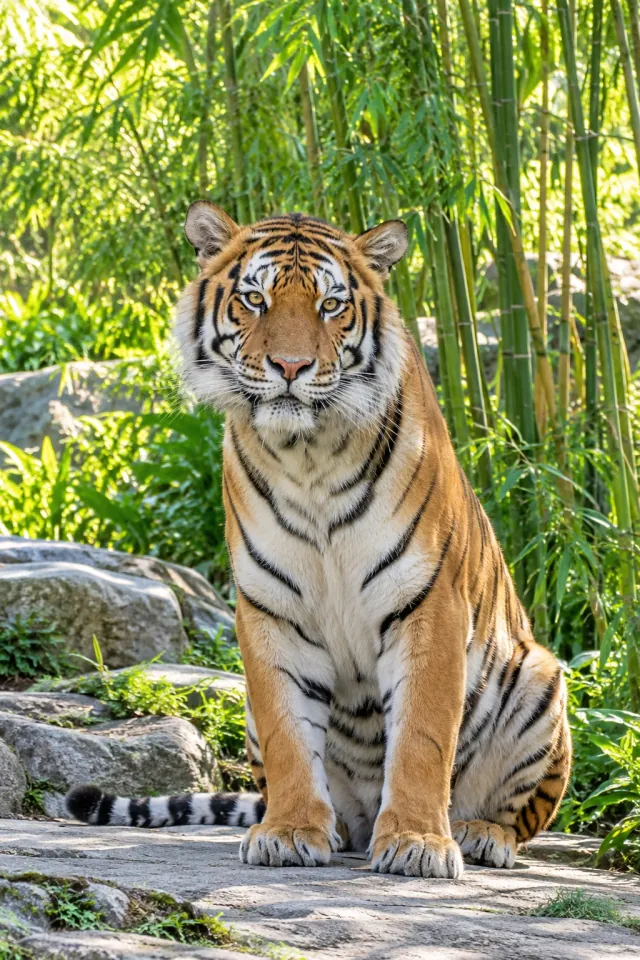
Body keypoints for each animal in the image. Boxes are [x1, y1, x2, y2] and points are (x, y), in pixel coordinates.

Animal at [65, 202, 571, 879]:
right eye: (254, 299)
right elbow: (288, 733)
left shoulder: (429, 603)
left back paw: (476, 833)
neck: (309, 457)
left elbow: (422, 735)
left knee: (519, 817)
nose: (290, 368)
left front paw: (417, 842)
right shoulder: (271, 609)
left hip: (540, 677)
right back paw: (334, 829)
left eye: (331, 306)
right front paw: (290, 831)